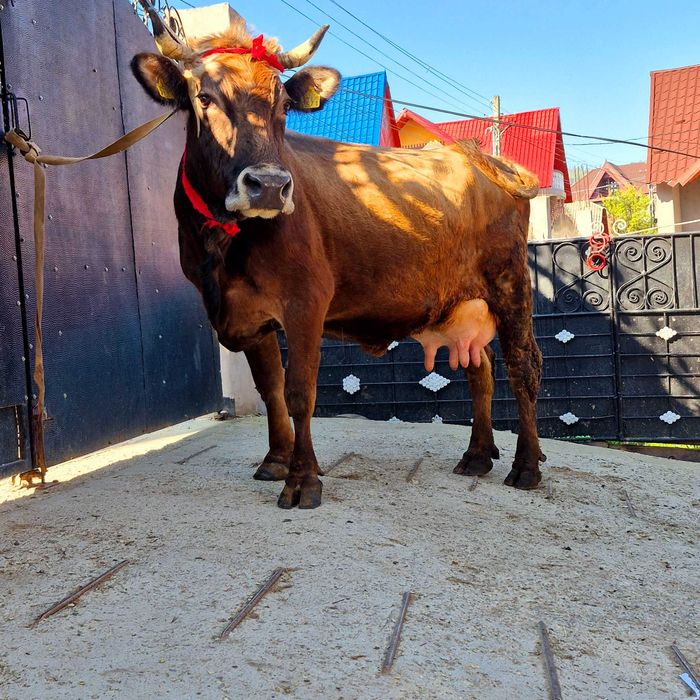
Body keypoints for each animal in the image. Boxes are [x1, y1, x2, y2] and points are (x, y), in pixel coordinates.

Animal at [131, 1, 545, 509]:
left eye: (285, 105)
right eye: (204, 98)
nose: (269, 185)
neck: (223, 249)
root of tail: (476, 157)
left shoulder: (306, 300)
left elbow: (300, 391)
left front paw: (302, 479)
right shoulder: (250, 314)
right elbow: (270, 389)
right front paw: (276, 460)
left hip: (511, 283)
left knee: (524, 366)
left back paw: (526, 465)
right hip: (460, 302)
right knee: (480, 368)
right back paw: (477, 455)